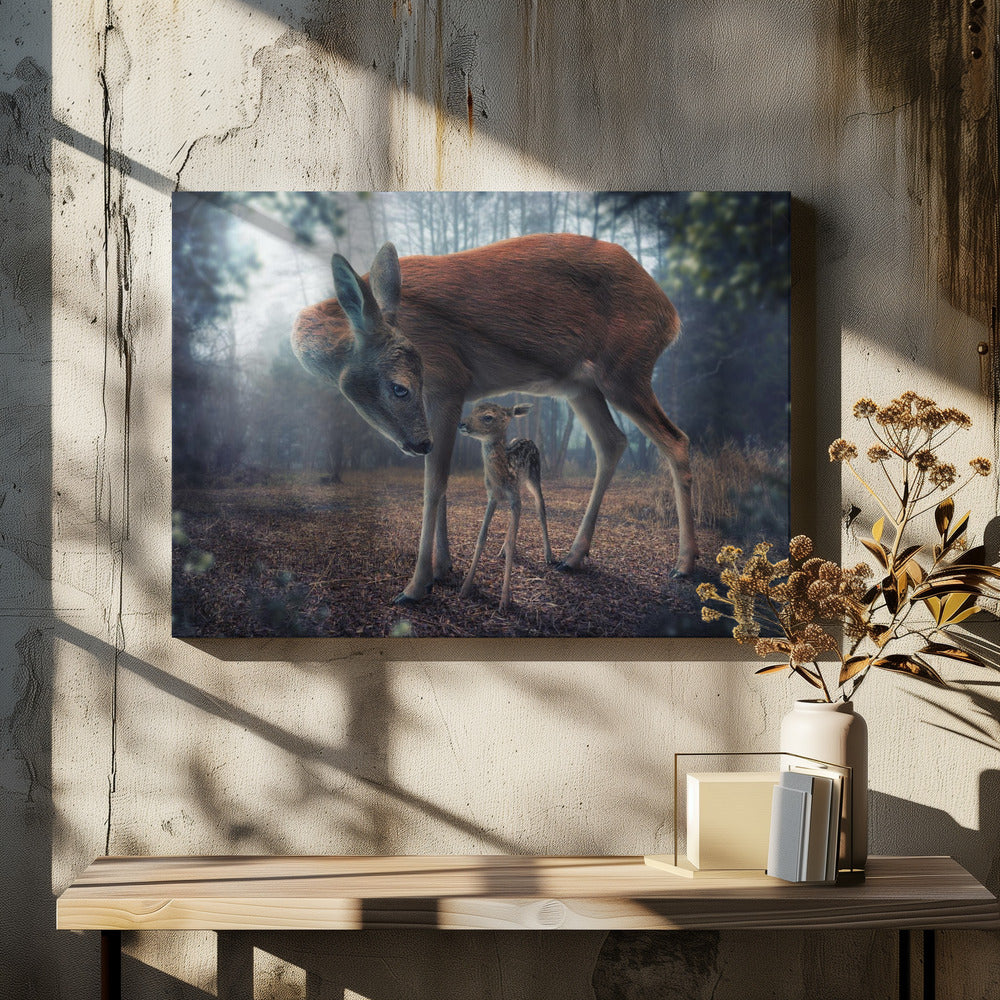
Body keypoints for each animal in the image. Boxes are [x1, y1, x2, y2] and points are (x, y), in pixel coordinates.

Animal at [458, 401, 555, 611]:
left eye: (488, 416)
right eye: (474, 409)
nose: (462, 424)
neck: (501, 477)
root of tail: (528, 439)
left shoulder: (513, 496)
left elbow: (511, 540)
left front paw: (504, 600)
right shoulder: (492, 497)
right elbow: (481, 536)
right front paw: (465, 588)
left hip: (534, 477)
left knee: (540, 508)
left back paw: (549, 555)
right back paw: (501, 550)